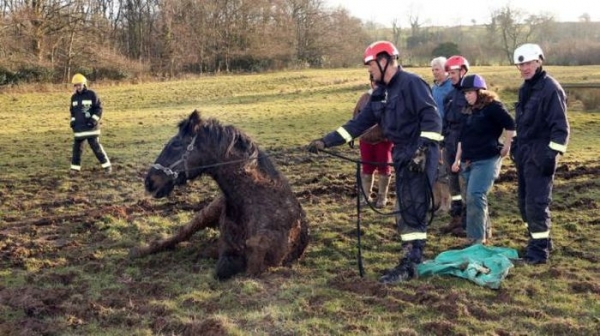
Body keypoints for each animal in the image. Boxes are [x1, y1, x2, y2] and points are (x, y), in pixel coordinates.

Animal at [131, 109, 310, 278]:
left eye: (176, 144)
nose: (149, 182)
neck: (256, 199)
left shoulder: (266, 260)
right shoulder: (227, 248)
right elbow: (222, 266)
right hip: (205, 215)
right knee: (176, 237)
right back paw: (139, 251)